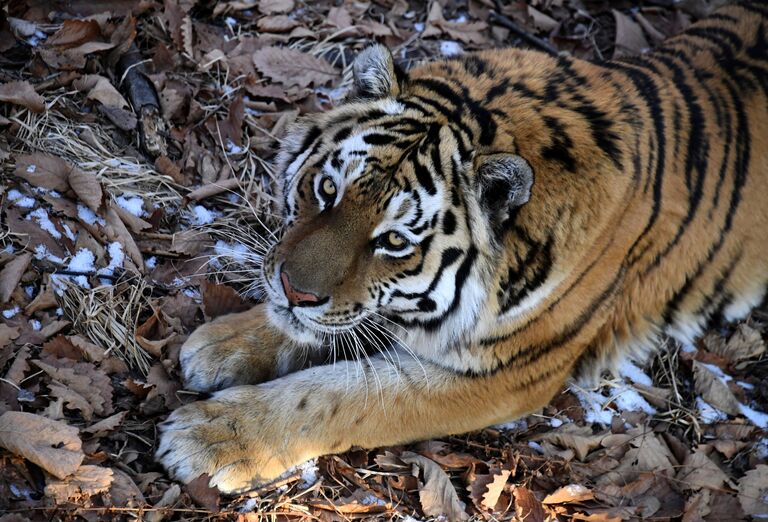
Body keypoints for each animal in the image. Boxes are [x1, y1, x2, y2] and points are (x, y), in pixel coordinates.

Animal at [156, 3, 768, 492]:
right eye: (328, 190)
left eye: (394, 241)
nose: (291, 290)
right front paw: (221, 345)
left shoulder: (503, 375)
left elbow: (336, 396)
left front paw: (210, 438)